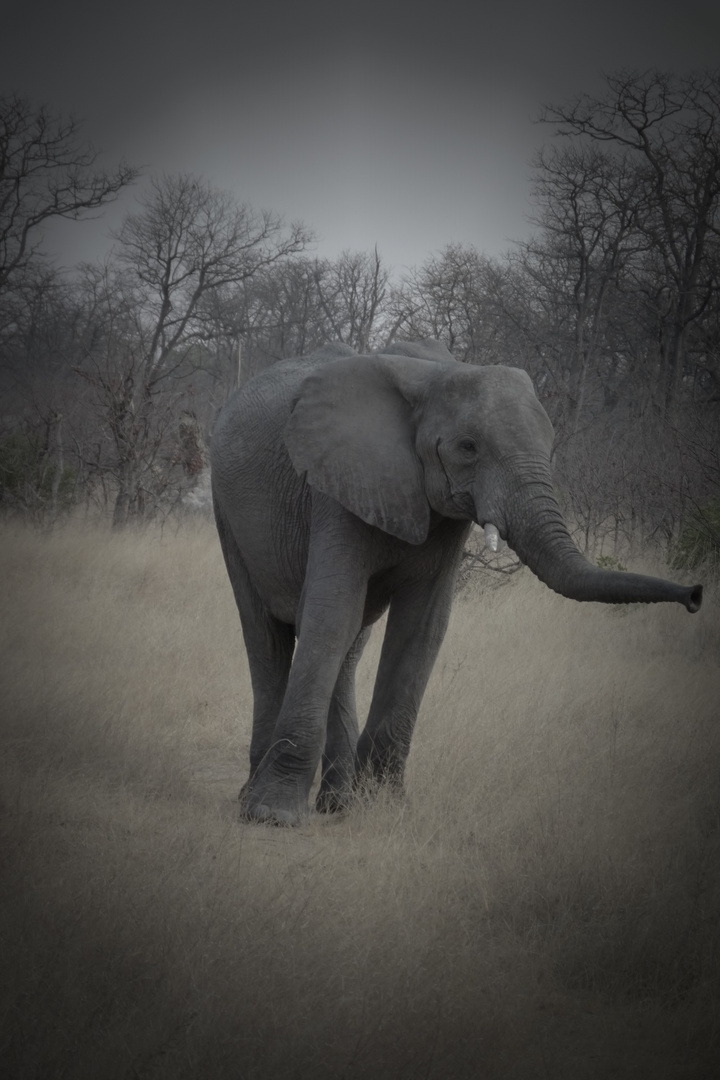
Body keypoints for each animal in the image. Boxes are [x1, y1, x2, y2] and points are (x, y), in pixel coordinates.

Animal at [209, 341, 703, 820]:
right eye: (468, 447)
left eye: (550, 447)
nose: (696, 595)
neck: (434, 375)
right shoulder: (337, 486)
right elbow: (332, 614)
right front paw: (274, 816)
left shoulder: (441, 518)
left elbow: (423, 627)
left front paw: (384, 808)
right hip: (225, 509)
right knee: (267, 638)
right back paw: (253, 799)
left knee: (350, 646)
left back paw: (337, 803)